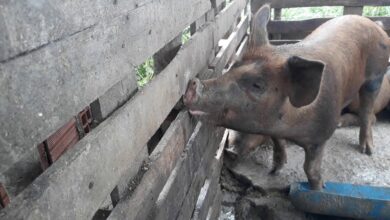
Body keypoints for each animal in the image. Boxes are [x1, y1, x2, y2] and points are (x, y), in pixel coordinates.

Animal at [184, 3, 390, 189]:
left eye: (257, 85)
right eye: (233, 67)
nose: (193, 85)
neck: (292, 126)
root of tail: (375, 24)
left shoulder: (322, 134)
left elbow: (310, 168)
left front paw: (319, 188)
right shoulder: (273, 128)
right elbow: (278, 145)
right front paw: (274, 171)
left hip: (376, 76)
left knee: (368, 112)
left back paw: (367, 151)